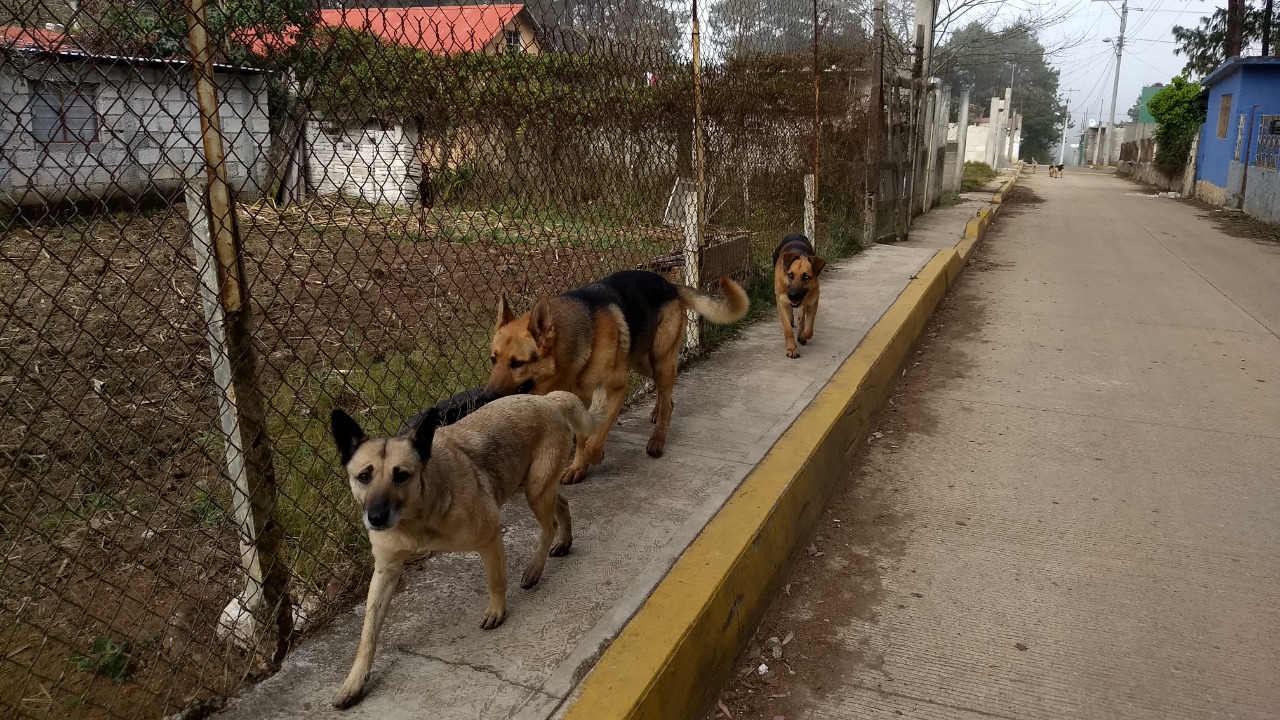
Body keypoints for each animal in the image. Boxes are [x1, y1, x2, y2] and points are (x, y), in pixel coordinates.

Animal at [325, 389, 593, 702]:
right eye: (364, 476)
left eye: (401, 475)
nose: (376, 518)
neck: (418, 514)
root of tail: (548, 399)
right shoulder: (385, 571)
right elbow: (368, 632)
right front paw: (355, 680)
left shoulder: (490, 537)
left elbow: (495, 581)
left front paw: (497, 611)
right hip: (539, 488)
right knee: (562, 505)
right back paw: (564, 541)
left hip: (535, 490)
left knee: (548, 525)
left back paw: (535, 569)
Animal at [486, 269, 747, 481]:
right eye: (493, 359)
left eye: (517, 363)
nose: (485, 397)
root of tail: (668, 284)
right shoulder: (580, 403)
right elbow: (582, 440)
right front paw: (578, 467)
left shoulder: (616, 391)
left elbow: (593, 442)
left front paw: (595, 456)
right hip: (644, 362)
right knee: (666, 395)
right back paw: (657, 410)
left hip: (660, 360)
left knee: (667, 397)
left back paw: (657, 439)